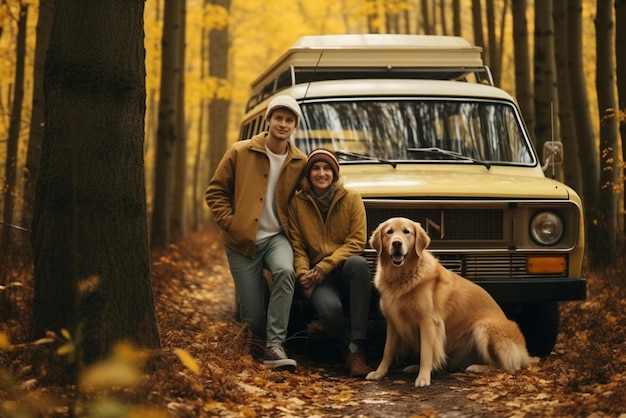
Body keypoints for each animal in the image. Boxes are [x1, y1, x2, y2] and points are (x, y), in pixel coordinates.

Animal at [366, 217, 532, 386]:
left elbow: (426, 353)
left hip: (482, 327)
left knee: (505, 366)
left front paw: (423, 377)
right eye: (389, 232)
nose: (397, 243)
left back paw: (476, 367)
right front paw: (379, 373)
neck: (402, 276)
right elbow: (387, 352)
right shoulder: (393, 322)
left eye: (407, 231)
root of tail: (525, 354)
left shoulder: (428, 322)